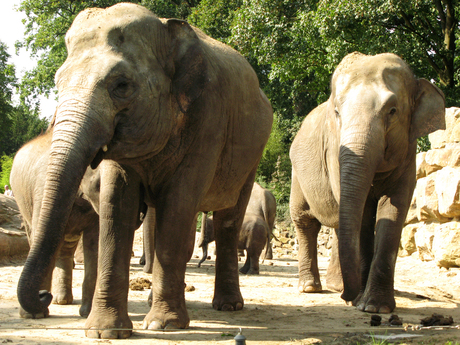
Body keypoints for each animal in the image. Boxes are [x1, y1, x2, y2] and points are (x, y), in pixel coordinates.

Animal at [18, 2, 274, 338]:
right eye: (58, 82)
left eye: (121, 86)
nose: (42, 296)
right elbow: (116, 206)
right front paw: (105, 331)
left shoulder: (208, 121)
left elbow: (178, 205)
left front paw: (164, 325)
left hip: (251, 156)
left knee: (228, 218)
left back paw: (228, 306)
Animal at [292, 52, 446, 314]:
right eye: (337, 112)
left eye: (392, 111)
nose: (348, 296)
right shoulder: (334, 148)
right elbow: (363, 213)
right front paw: (359, 302)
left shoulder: (408, 153)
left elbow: (394, 209)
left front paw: (375, 306)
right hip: (296, 174)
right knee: (305, 221)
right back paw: (311, 288)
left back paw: (337, 286)